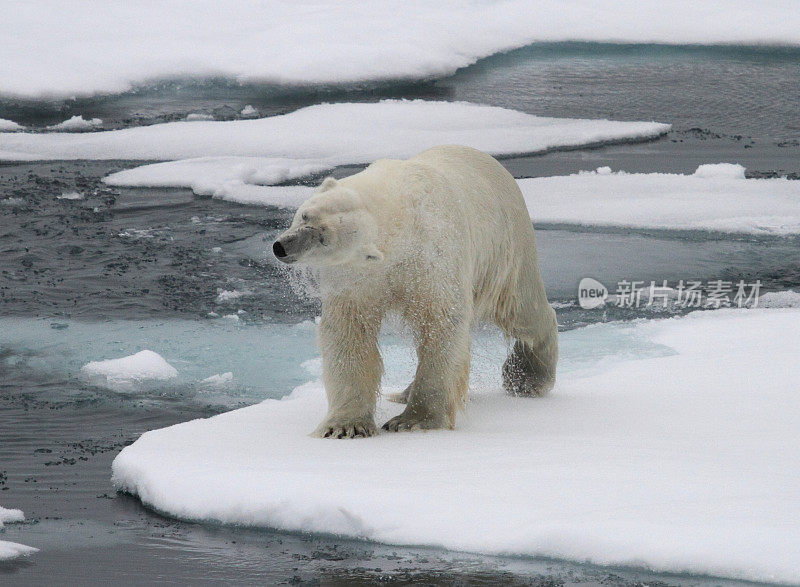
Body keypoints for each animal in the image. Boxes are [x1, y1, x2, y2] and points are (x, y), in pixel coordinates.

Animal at [274, 145, 556, 438]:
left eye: (324, 239)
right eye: (306, 215)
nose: (282, 247)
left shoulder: (433, 258)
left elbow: (441, 326)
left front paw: (413, 421)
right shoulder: (357, 276)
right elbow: (349, 332)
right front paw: (344, 426)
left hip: (506, 245)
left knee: (521, 310)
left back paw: (528, 377)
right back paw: (405, 392)